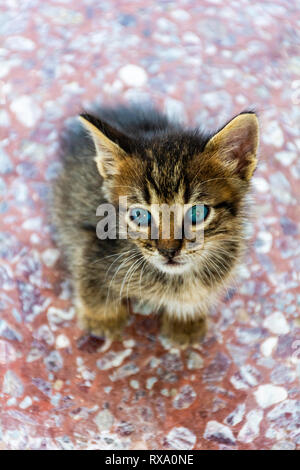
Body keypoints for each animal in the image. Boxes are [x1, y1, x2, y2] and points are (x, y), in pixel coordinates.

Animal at [51, 104, 258, 346]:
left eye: (197, 213)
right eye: (140, 215)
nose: (168, 251)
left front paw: (185, 322)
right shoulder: (92, 241)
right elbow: (89, 278)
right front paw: (103, 320)